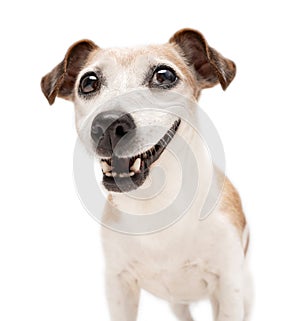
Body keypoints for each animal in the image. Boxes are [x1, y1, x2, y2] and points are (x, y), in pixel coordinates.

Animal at [41, 28, 252, 320]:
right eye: (88, 82)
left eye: (164, 76)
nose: (107, 124)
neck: (155, 201)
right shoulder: (119, 285)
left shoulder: (229, 288)